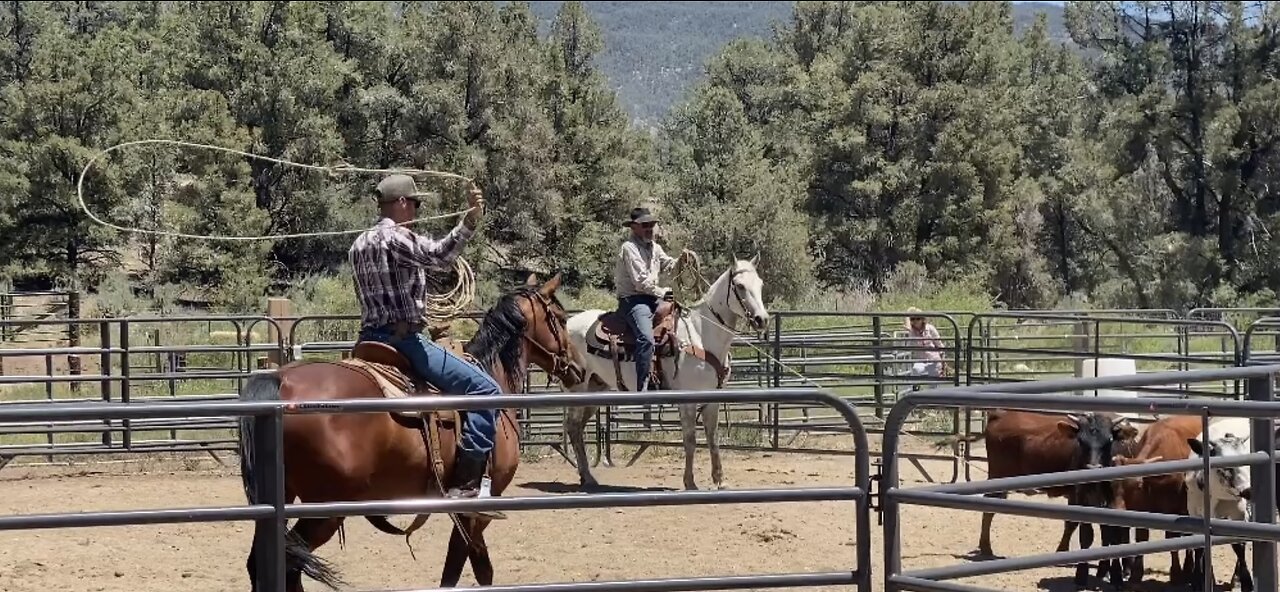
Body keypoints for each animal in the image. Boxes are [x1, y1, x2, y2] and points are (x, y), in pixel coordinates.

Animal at [238, 275, 583, 589]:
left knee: (264, 563)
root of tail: (281, 380)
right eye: (562, 318)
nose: (578, 368)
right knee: (289, 565)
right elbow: (469, 567)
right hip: (325, 510)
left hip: (283, 500)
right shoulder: (478, 507)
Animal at [563, 254, 762, 489]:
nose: (762, 319)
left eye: (760, 284)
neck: (701, 334)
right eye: (739, 286)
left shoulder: (712, 399)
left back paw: (586, 476)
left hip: (595, 388)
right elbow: (690, 440)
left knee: (578, 428)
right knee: (573, 426)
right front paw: (690, 483)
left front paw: (720, 481)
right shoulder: (688, 400)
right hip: (578, 386)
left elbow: (713, 438)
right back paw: (588, 477)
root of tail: (568, 322)